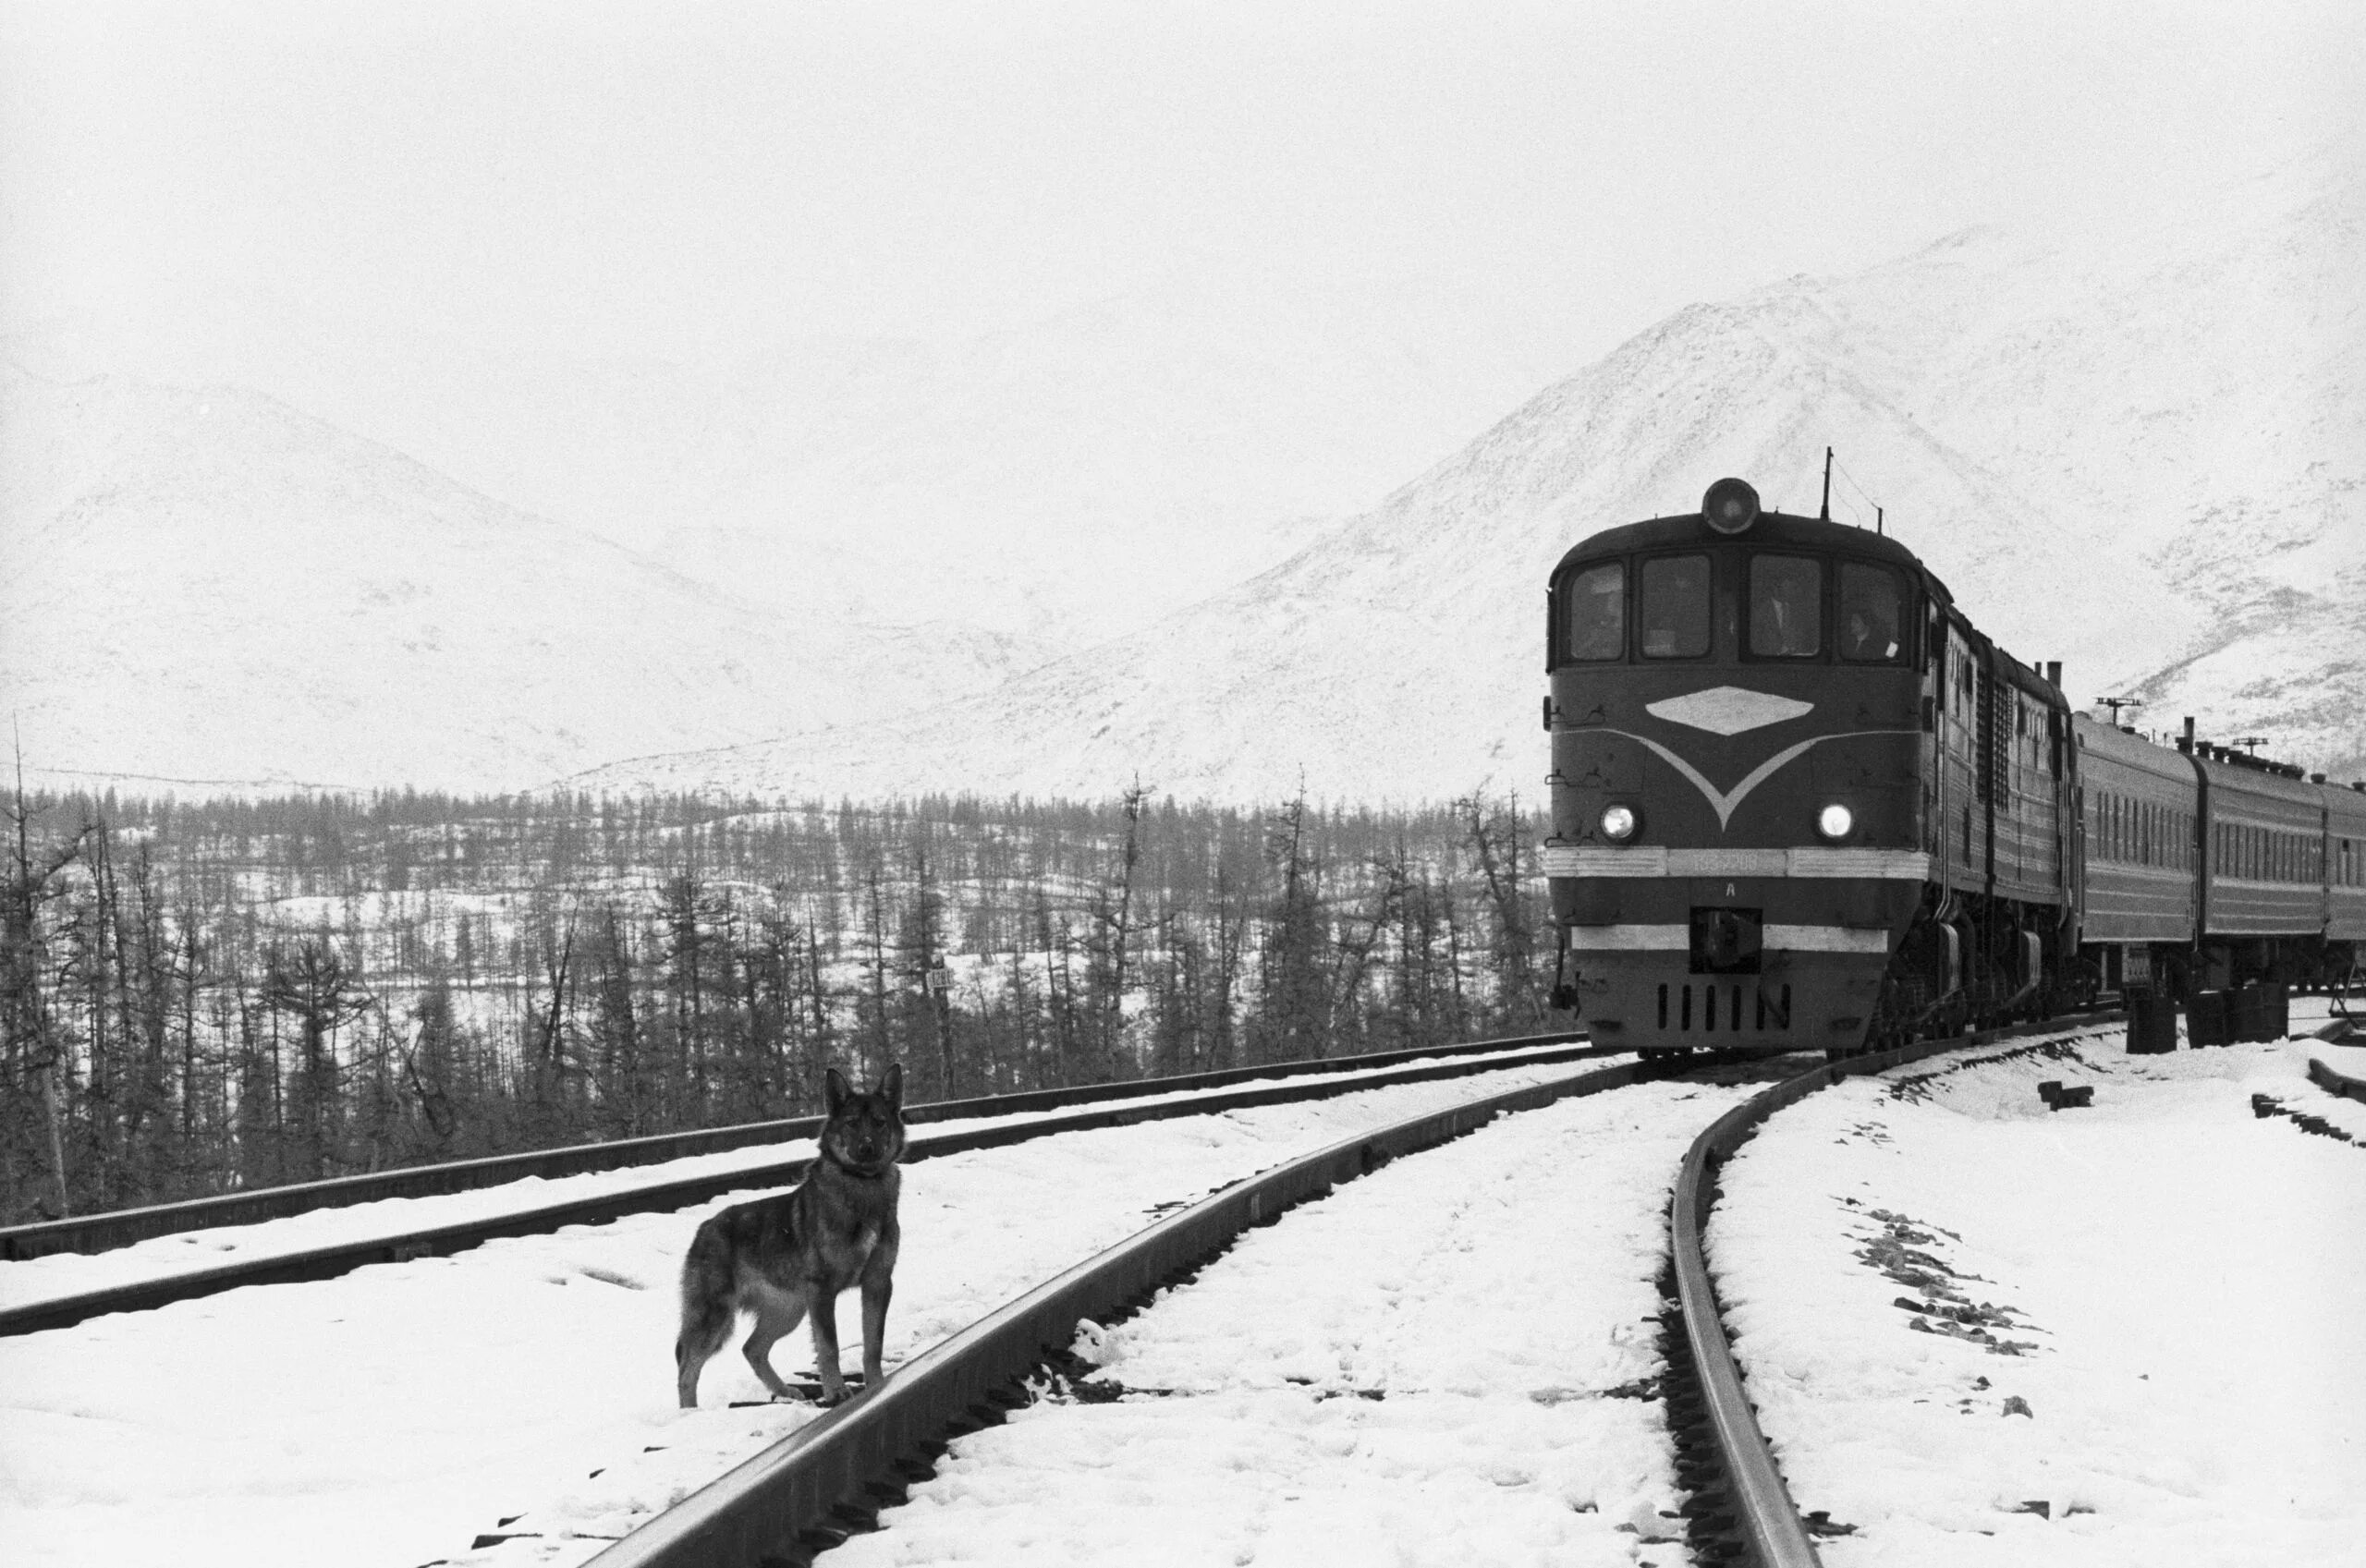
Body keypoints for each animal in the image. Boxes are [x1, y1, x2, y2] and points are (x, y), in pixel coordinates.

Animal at [686, 1068, 913, 1409]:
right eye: (851, 1123)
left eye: (879, 1122)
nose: (867, 1148)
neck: (862, 1187)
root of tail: (704, 1229)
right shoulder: (822, 1292)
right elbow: (829, 1347)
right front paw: (837, 1392)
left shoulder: (877, 1283)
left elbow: (873, 1343)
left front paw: (877, 1386)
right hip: (715, 1318)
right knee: (687, 1367)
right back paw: (689, 1414)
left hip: (788, 1311)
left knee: (752, 1349)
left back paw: (786, 1392)